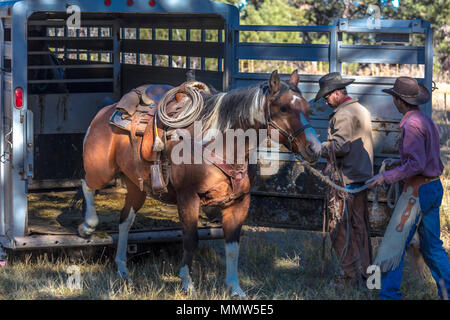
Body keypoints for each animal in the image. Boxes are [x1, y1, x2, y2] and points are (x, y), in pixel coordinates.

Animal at [79, 70, 322, 298]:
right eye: (283, 108)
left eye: (308, 109)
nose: (315, 148)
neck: (221, 144)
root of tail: (106, 110)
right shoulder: (188, 198)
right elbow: (190, 239)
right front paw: (187, 283)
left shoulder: (239, 202)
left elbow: (232, 245)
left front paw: (235, 287)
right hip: (101, 170)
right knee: (87, 184)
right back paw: (88, 225)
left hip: (136, 186)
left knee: (125, 221)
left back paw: (122, 268)